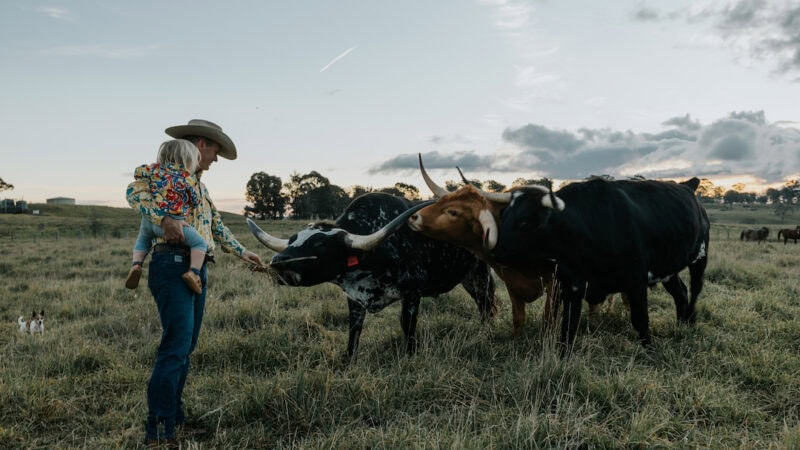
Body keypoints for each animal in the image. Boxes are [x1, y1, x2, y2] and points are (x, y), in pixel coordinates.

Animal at [250, 192, 496, 360]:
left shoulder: (412, 291)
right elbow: (354, 330)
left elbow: (407, 325)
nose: (278, 261)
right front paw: (348, 359)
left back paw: (486, 333)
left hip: (480, 273)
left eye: (320, 244)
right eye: (292, 239)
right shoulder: (354, 297)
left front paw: (410, 355)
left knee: (485, 304)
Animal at [488, 178, 708, 354]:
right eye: (503, 216)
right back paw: (680, 325)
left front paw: (650, 350)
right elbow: (568, 326)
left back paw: (690, 323)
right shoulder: (572, 285)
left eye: (524, 222)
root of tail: (688, 186)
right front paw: (562, 356)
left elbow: (640, 319)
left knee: (695, 291)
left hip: (699, 259)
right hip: (668, 269)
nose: (493, 251)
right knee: (681, 293)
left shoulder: (636, 281)